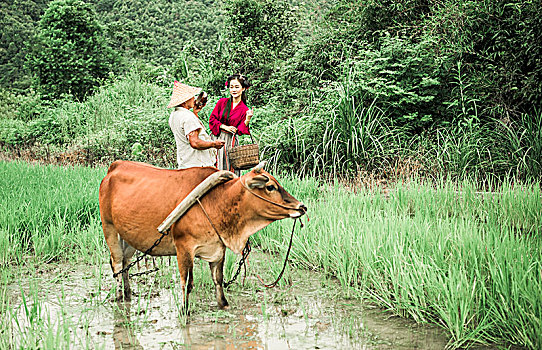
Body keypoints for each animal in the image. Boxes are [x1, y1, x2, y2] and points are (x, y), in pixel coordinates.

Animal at [98, 161, 306, 308]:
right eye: (270, 187)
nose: (301, 207)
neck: (217, 201)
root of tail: (115, 166)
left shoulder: (218, 248)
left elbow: (218, 279)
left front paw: (223, 304)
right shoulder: (184, 248)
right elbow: (187, 283)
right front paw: (184, 310)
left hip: (129, 237)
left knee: (125, 263)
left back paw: (127, 293)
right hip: (109, 228)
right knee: (117, 264)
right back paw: (119, 296)